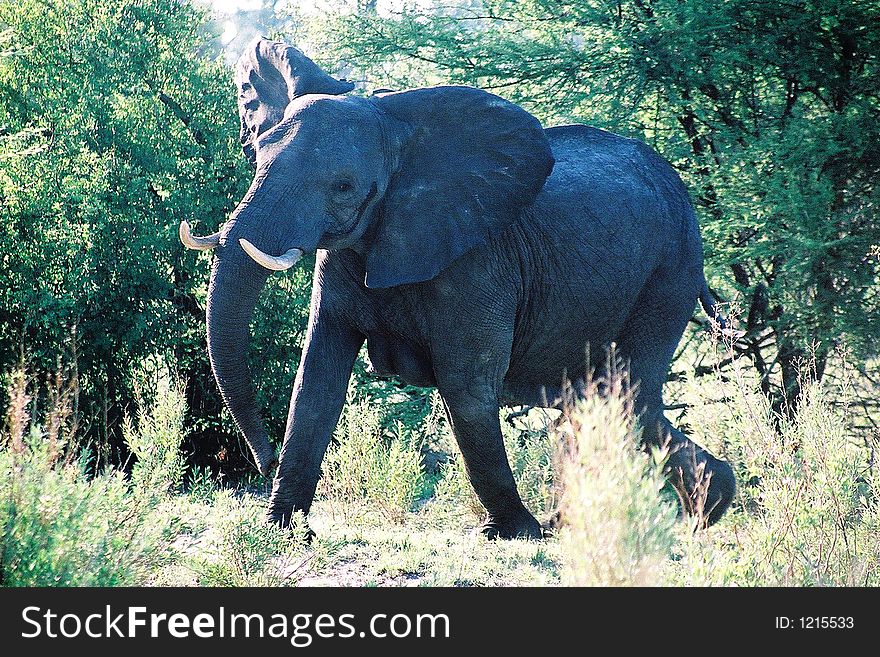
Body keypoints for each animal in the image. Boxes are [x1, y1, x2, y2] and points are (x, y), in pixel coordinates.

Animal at [184, 37, 736, 540]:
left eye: (342, 187)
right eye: (258, 158)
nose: (261, 460)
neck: (396, 125)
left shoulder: (477, 262)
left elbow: (466, 390)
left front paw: (515, 532)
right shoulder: (342, 258)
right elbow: (316, 379)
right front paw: (281, 529)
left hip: (669, 273)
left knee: (630, 399)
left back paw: (699, 510)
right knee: (598, 403)